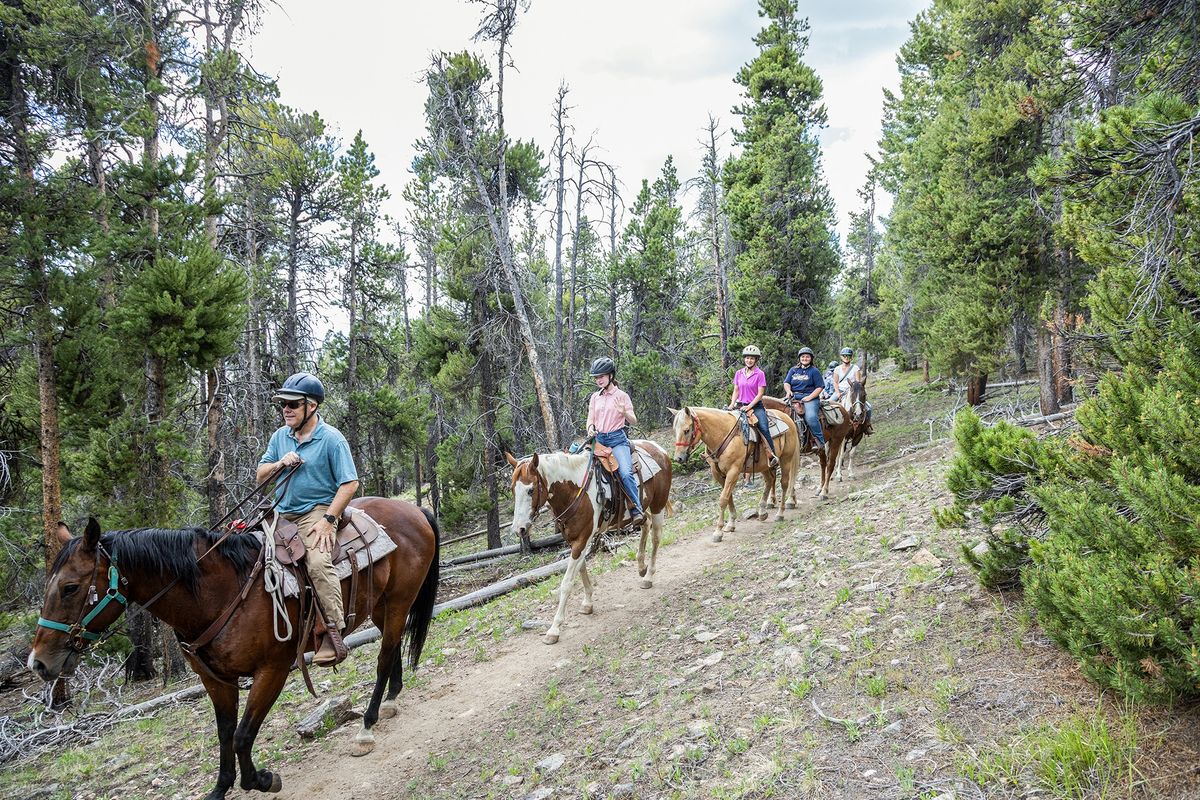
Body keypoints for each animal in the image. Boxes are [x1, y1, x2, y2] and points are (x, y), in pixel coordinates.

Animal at [28, 501, 439, 800]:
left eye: (69, 587)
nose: (38, 663)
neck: (218, 593)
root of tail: (413, 509)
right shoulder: (216, 680)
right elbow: (225, 733)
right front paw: (220, 788)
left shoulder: (272, 670)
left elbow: (243, 734)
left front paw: (262, 779)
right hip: (381, 606)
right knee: (393, 648)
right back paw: (391, 701)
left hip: (399, 602)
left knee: (384, 658)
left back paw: (367, 724)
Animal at [506, 441, 676, 647]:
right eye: (513, 490)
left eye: (531, 490)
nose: (519, 529)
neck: (574, 490)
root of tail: (658, 448)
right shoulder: (575, 539)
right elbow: (581, 568)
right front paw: (587, 603)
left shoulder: (582, 539)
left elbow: (567, 582)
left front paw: (554, 629)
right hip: (640, 509)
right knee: (645, 524)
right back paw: (641, 567)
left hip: (658, 504)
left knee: (656, 536)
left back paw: (648, 576)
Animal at [672, 407, 801, 544]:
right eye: (675, 430)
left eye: (686, 430)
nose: (678, 458)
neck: (722, 434)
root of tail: (788, 418)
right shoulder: (719, 475)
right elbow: (729, 498)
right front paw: (731, 524)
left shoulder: (733, 471)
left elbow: (723, 499)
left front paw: (718, 532)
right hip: (763, 465)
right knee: (770, 480)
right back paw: (762, 512)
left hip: (786, 459)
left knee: (784, 483)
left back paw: (780, 513)